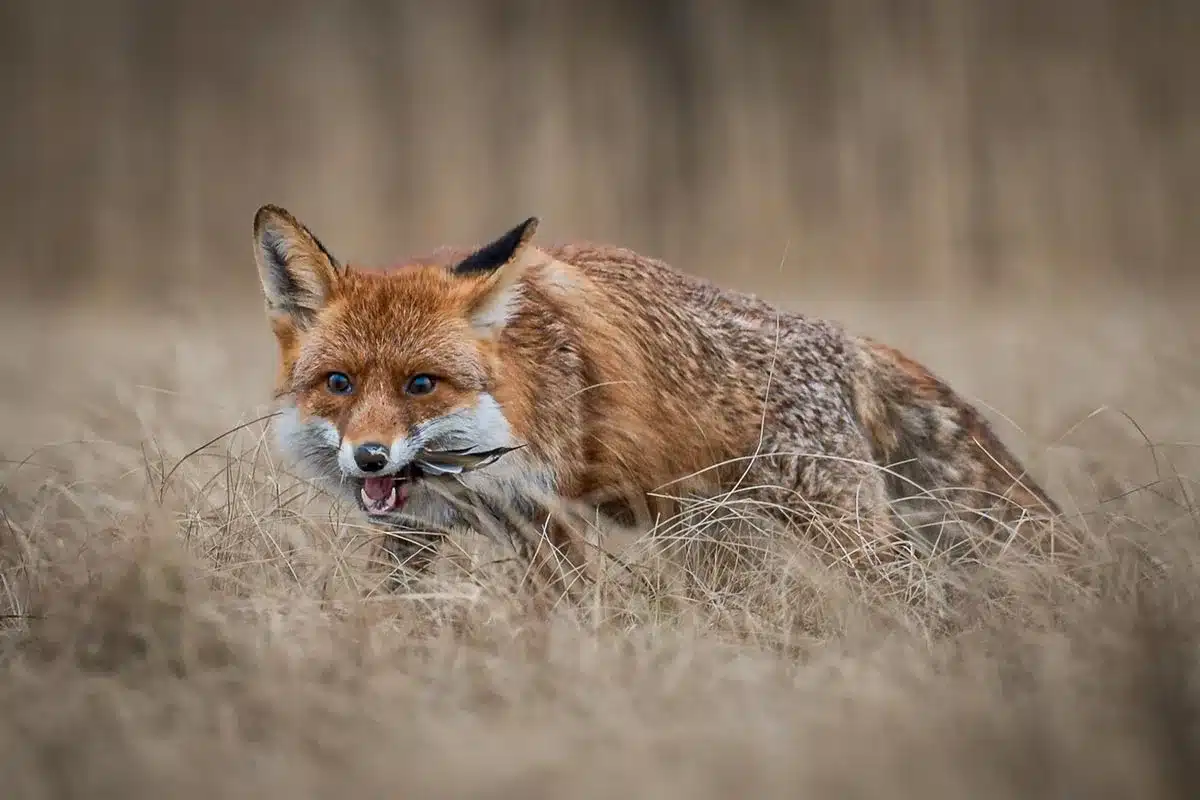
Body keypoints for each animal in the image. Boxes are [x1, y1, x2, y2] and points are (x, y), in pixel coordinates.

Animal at [251, 204, 1071, 592]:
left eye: (422, 384)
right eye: (338, 384)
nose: (369, 457)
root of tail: (844, 337)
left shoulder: (546, 518)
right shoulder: (416, 533)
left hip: (845, 533)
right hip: (712, 533)